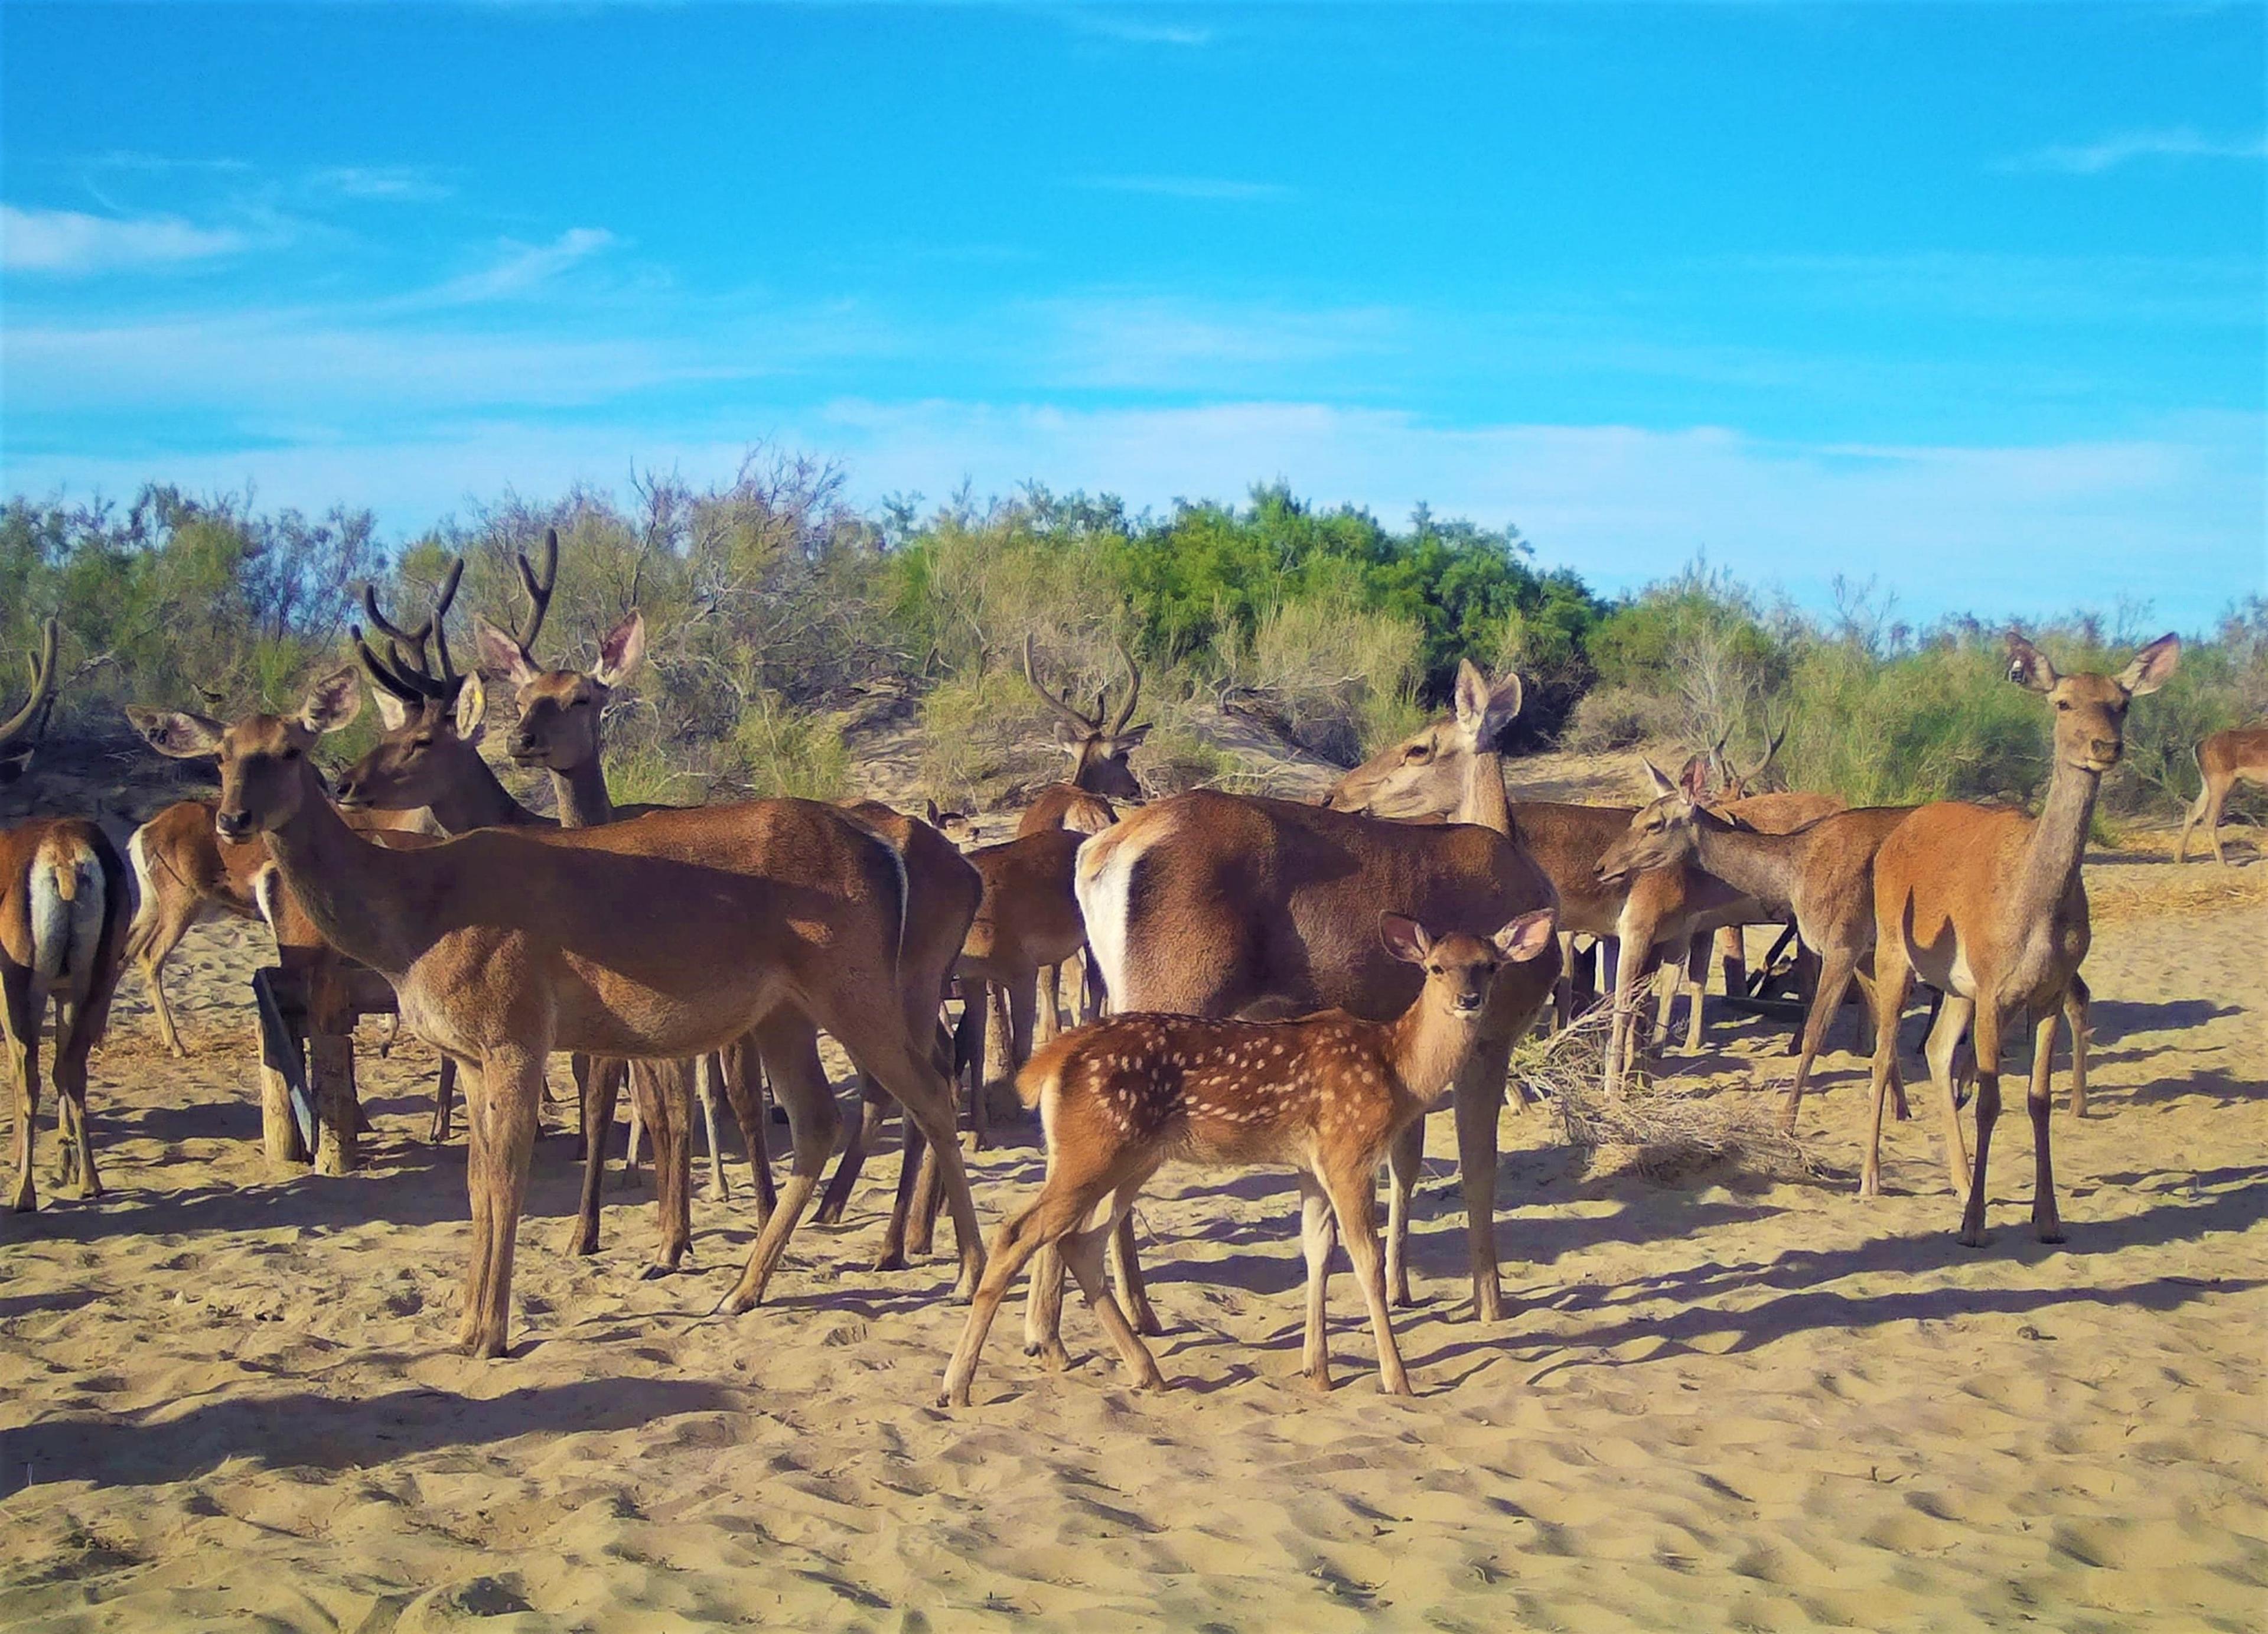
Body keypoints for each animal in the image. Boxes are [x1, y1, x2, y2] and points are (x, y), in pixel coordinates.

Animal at [131, 669, 989, 1357]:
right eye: (220, 756)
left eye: (290, 749)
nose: (234, 819)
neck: (414, 918)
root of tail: (886, 849)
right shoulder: (471, 1051)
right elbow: (476, 1179)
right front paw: (464, 1323)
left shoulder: (515, 1029)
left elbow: (509, 1176)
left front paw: (492, 1331)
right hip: (783, 1008)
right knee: (818, 1116)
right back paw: (742, 1289)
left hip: (859, 981)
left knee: (929, 1090)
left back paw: (962, 1269)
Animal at [940, 906, 1558, 1405]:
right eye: (1435, 967)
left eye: (1489, 965)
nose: (1468, 1000)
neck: (1396, 1068)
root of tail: (1051, 1062)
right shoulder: (1349, 1149)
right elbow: (1367, 1260)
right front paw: (1397, 1379)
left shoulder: (1311, 1163)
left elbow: (1317, 1251)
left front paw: (1319, 1371)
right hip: (1095, 1149)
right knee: (1019, 1232)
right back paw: (957, 1386)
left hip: (1131, 1158)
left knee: (1079, 1242)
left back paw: (1147, 1372)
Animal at [1063, 660, 1562, 1346]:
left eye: (1419, 746)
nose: (1338, 792)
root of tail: (1102, 851)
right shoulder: (1491, 1035)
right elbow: (1478, 1168)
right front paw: (1491, 1304)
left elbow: (1406, 1164)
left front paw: (1404, 1287)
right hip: (1170, 992)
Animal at [1858, 632, 2178, 1247]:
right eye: (2063, 702)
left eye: (2122, 702)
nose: (2105, 746)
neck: (2035, 911)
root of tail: (1895, 837)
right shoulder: (1993, 988)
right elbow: (1989, 1099)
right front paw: (1976, 1226)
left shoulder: (2046, 991)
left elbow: (2038, 1098)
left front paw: (2047, 1218)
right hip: (1893, 951)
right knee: (1885, 1054)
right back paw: (1872, 1180)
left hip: (1954, 986)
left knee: (1935, 1050)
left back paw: (1960, 1180)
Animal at [2176, 724, 2268, 865]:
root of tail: (2200, 744)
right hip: (2220, 785)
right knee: (2209, 817)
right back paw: (2223, 862)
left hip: (2208, 786)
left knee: (2194, 811)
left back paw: (2178, 859)